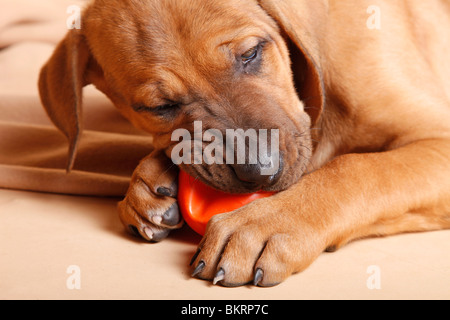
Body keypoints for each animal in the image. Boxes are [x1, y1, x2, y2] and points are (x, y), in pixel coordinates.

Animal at [39, 0, 450, 286]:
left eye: (251, 53)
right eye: (159, 107)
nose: (259, 173)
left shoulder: (438, 138)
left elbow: (358, 169)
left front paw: (266, 224)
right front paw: (146, 187)